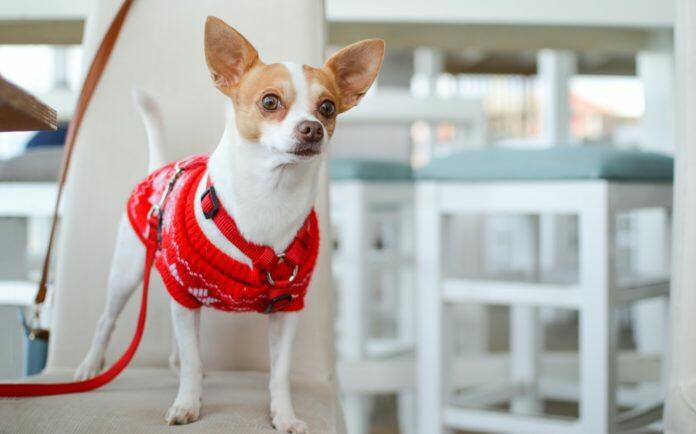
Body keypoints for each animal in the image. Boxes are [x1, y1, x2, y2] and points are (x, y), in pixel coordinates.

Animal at [75, 15, 386, 432]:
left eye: (328, 108)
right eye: (270, 101)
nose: (312, 128)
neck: (270, 197)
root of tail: (159, 168)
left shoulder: (287, 309)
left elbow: (279, 372)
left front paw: (284, 415)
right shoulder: (182, 289)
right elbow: (193, 359)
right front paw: (187, 404)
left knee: (180, 335)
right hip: (127, 273)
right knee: (107, 320)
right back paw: (91, 365)